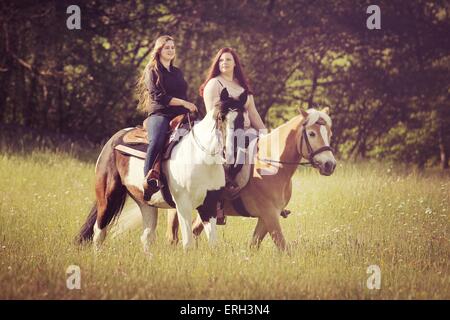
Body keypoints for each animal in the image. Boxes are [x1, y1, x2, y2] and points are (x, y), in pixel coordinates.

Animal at [75, 88, 248, 252]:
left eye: (241, 120)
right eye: (220, 118)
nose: (229, 154)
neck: (200, 158)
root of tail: (113, 140)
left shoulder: (209, 205)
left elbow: (213, 244)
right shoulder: (183, 204)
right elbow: (188, 244)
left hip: (145, 203)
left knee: (146, 236)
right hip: (107, 197)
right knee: (99, 232)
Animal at [167, 107, 336, 250]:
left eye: (329, 134)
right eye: (312, 134)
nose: (330, 165)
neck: (271, 166)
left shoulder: (266, 218)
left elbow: (253, 245)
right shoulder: (270, 215)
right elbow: (283, 247)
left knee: (194, 230)